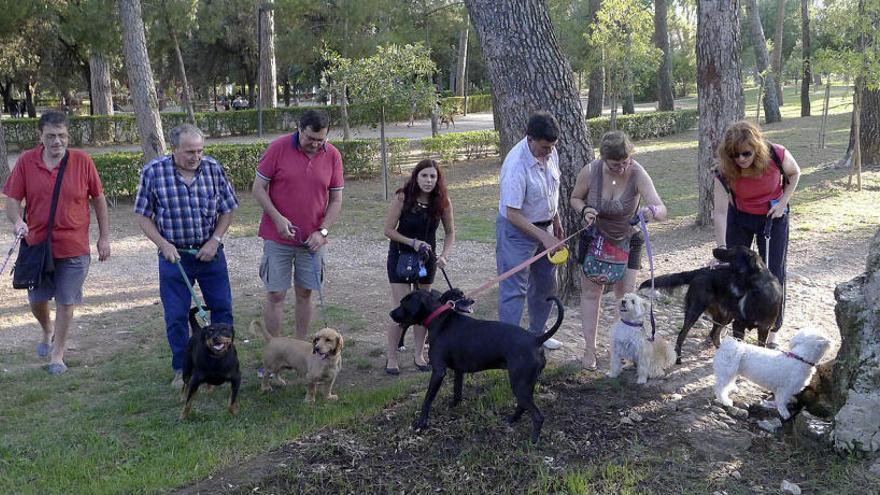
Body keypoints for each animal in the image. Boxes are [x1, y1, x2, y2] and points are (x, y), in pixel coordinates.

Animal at [392, 288, 564, 444]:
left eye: (403, 303)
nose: (391, 314)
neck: (439, 318)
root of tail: (536, 339)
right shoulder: (458, 371)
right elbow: (457, 391)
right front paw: (454, 406)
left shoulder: (438, 372)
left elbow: (427, 399)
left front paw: (421, 423)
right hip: (526, 384)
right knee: (523, 405)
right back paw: (511, 420)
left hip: (519, 385)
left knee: (538, 416)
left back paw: (533, 440)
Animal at [644, 245, 780, 364]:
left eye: (732, 250)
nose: (714, 249)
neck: (754, 290)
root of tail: (700, 271)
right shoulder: (738, 325)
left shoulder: (764, 328)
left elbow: (761, 347)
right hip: (695, 311)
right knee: (682, 335)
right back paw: (678, 358)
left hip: (724, 317)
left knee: (714, 335)